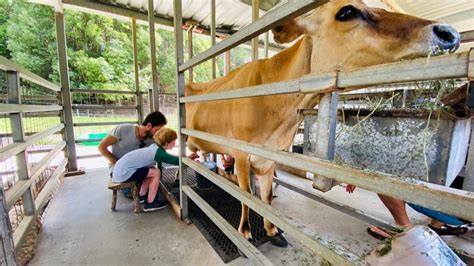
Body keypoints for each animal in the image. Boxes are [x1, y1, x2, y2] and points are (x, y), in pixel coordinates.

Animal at [184, 0, 460, 247]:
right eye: (346, 11)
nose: (449, 33)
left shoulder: (269, 157)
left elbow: (265, 197)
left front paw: (272, 230)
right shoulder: (241, 154)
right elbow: (246, 196)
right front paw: (245, 231)